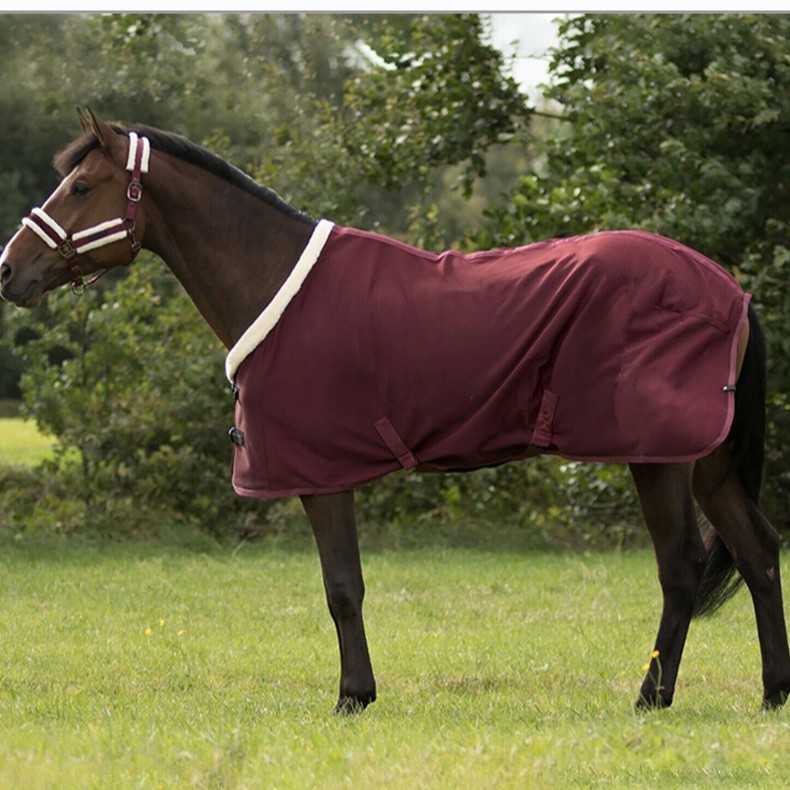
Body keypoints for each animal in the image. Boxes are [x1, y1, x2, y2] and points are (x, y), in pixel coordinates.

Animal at [1, 109, 788, 715]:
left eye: (81, 186)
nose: (9, 270)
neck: (274, 280)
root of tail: (730, 290)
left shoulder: (321, 473)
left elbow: (341, 589)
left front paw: (353, 697)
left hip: (658, 457)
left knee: (681, 567)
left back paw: (651, 698)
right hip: (709, 464)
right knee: (757, 552)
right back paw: (773, 693)